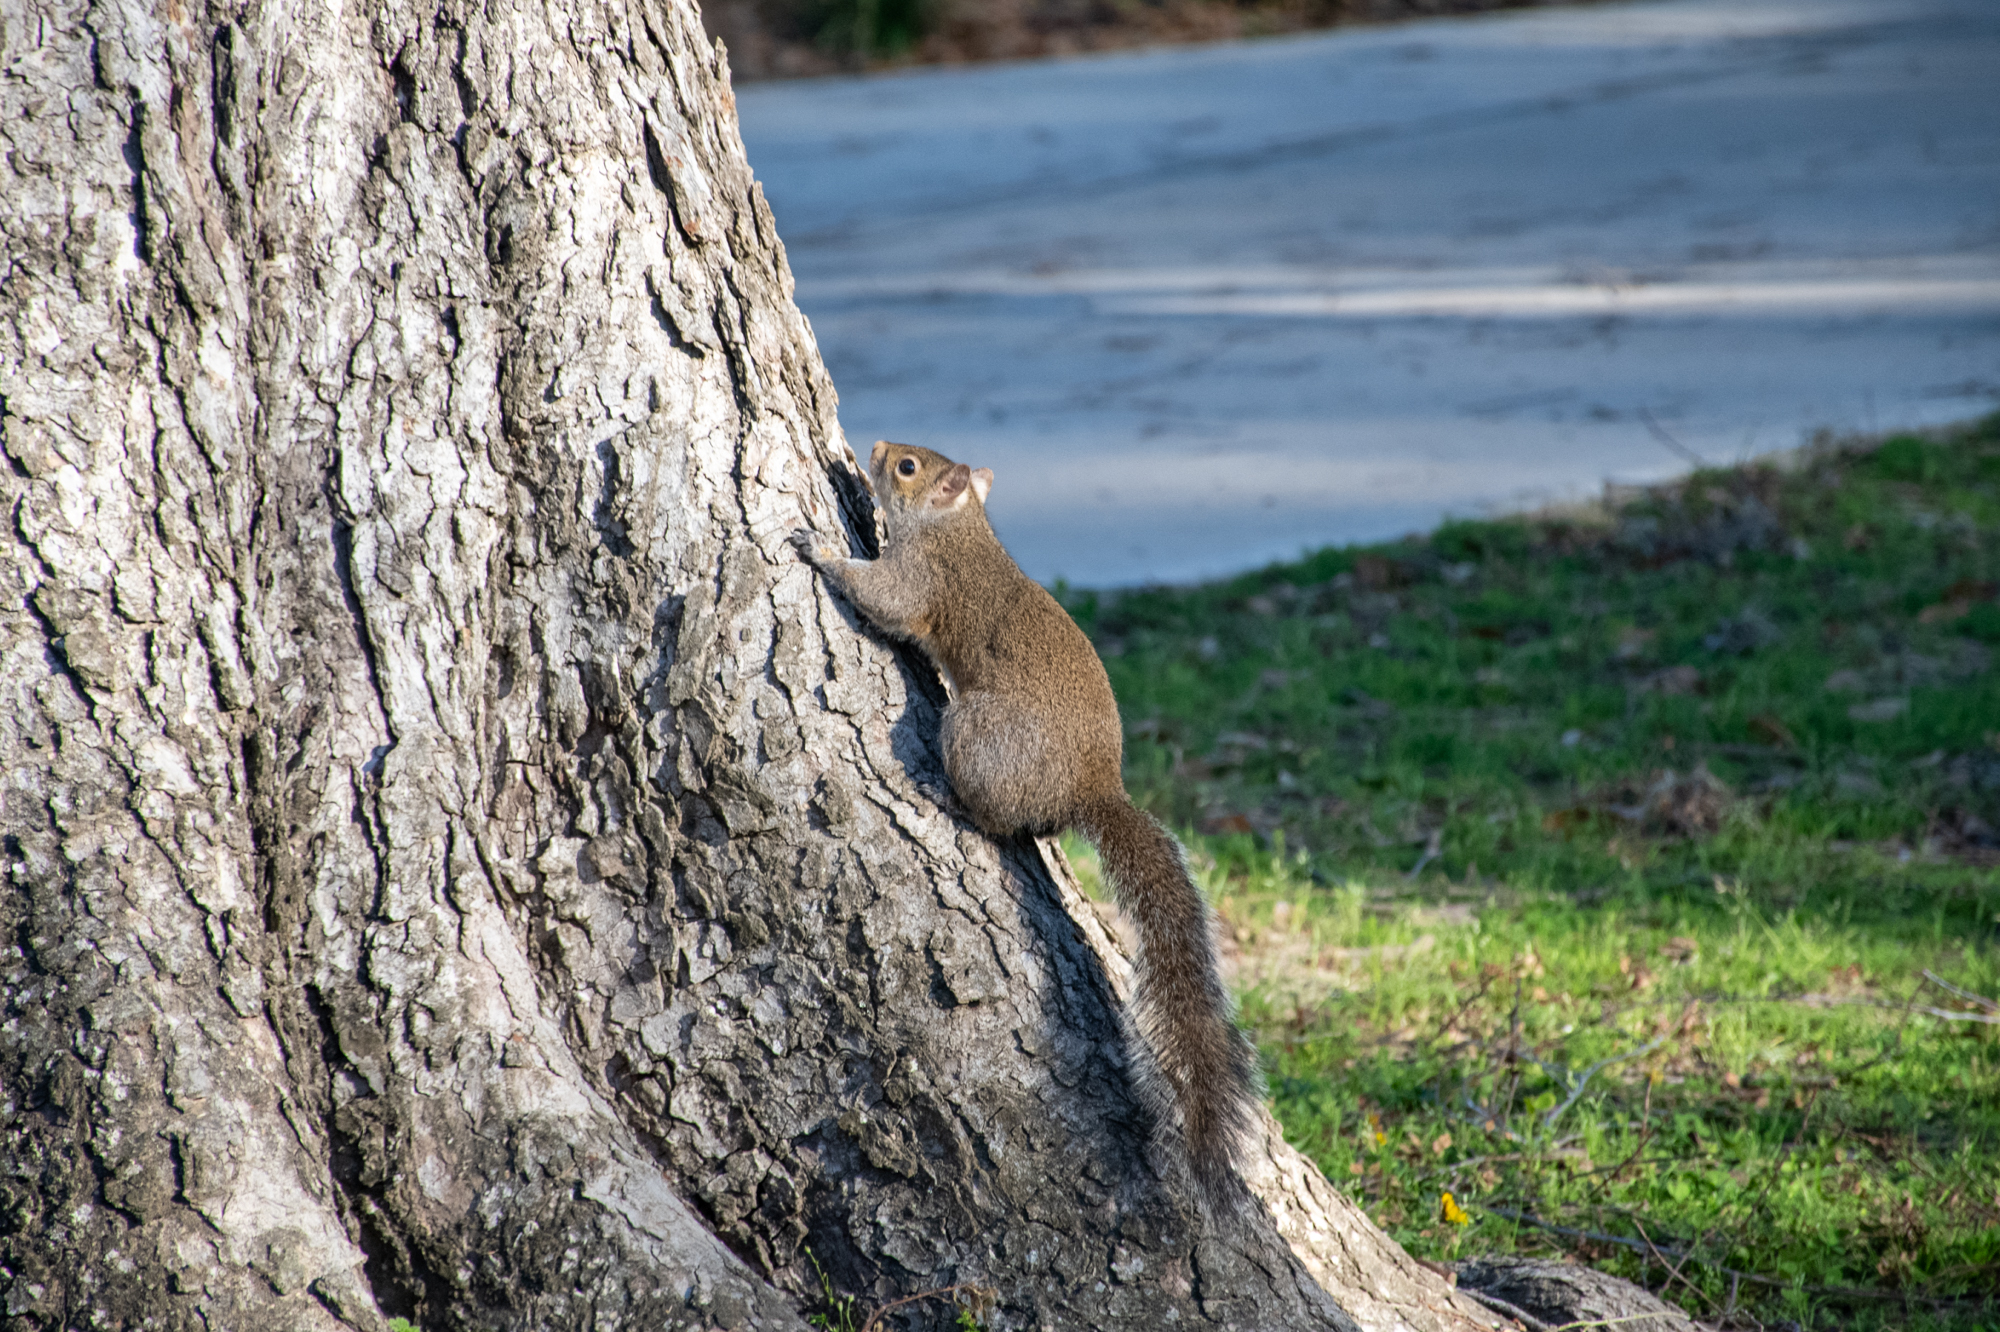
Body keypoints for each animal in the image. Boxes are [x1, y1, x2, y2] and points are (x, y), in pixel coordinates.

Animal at [788, 440, 1256, 1208]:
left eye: (909, 468)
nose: (876, 448)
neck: (958, 528)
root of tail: (1093, 785)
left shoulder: (923, 580)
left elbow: (885, 600)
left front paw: (821, 549)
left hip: (977, 733)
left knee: (995, 817)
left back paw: (946, 798)